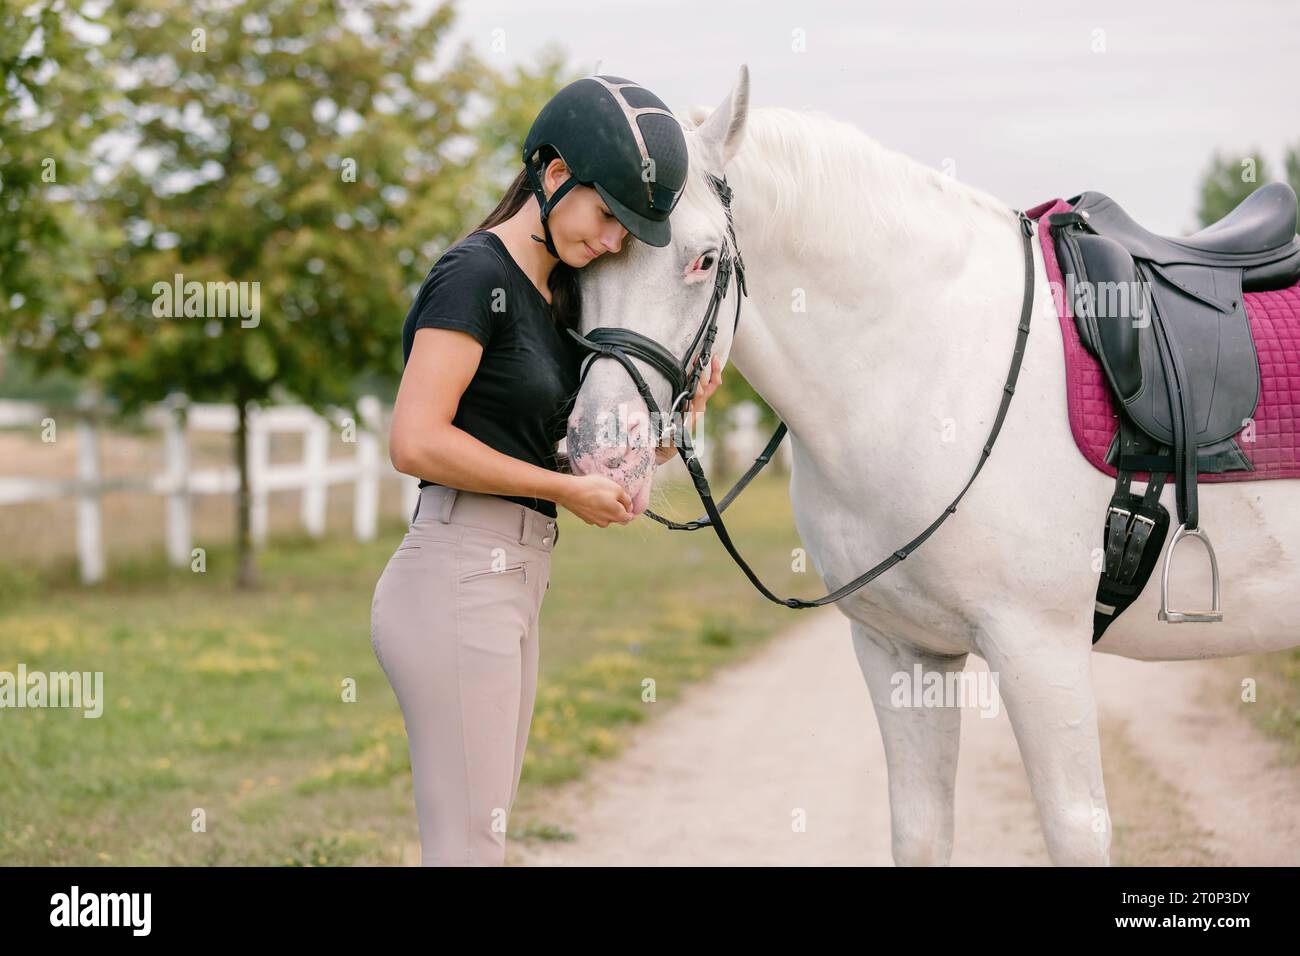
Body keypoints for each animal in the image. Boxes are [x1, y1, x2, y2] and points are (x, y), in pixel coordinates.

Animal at [561, 63, 1300, 863]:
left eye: (701, 259)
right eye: (581, 260)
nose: (601, 452)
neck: (929, 358)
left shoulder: (1040, 651)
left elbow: (1075, 830)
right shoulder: (902, 650)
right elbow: (920, 829)